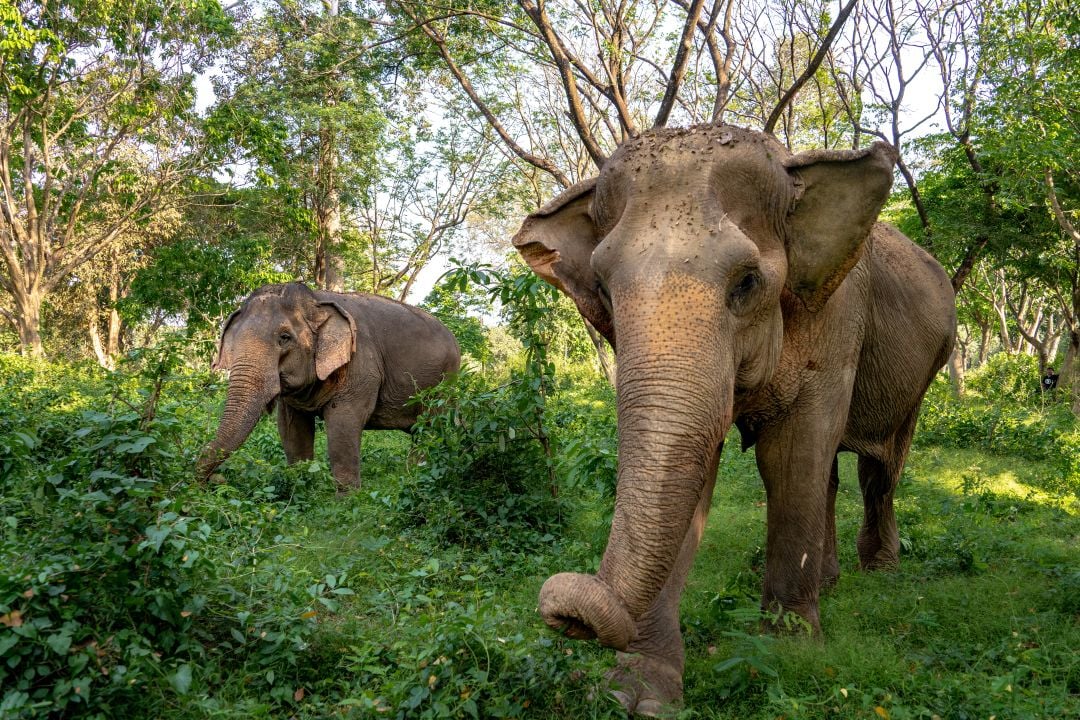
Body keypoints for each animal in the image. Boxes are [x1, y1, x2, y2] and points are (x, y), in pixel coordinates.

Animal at [196, 282, 461, 492]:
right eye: (232, 344)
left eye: (285, 338)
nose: (215, 480)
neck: (315, 299)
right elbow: (291, 429)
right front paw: (300, 486)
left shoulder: (360, 366)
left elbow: (343, 424)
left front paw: (347, 500)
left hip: (444, 383)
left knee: (432, 429)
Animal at [512, 125, 956, 714]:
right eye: (603, 289)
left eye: (746, 282)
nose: (568, 610)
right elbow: (698, 466)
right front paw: (637, 694)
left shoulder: (839, 315)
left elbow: (789, 457)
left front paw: (790, 654)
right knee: (831, 474)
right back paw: (830, 583)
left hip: (927, 367)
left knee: (879, 468)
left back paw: (880, 571)